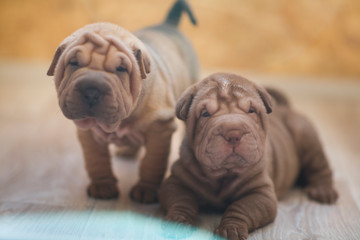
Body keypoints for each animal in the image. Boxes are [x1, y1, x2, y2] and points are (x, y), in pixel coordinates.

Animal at [46, 0, 198, 202]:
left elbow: (152, 163)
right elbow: (96, 161)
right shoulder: (89, 135)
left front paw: (146, 190)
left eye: (121, 69)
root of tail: (168, 24)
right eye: (73, 63)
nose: (91, 90)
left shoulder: (160, 130)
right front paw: (102, 186)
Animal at [158, 72, 338, 238]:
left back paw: (323, 190)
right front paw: (178, 222)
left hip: (305, 137)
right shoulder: (176, 182)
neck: (223, 175)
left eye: (251, 110)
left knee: (319, 166)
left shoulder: (260, 192)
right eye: (205, 114)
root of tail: (286, 108)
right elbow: (181, 201)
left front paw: (231, 229)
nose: (233, 133)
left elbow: (241, 207)